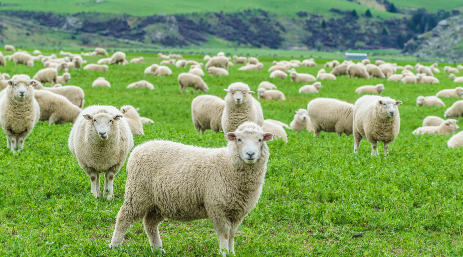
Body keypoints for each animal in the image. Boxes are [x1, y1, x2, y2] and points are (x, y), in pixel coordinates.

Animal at [109, 120, 272, 256]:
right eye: (239, 139)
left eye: (260, 140)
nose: (250, 154)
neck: (228, 164)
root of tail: (139, 148)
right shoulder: (217, 207)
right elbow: (224, 234)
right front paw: (224, 253)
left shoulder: (237, 212)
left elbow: (232, 234)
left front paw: (231, 253)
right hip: (138, 193)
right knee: (124, 217)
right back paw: (115, 246)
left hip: (159, 203)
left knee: (150, 223)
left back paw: (158, 249)